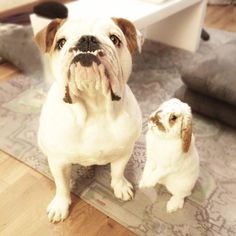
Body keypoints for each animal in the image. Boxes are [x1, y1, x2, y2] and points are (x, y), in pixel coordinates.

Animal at [34, 16, 143, 221]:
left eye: (115, 39)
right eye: (60, 43)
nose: (86, 40)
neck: (94, 106)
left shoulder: (124, 152)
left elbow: (118, 171)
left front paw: (120, 186)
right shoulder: (59, 161)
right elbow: (62, 185)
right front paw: (60, 205)